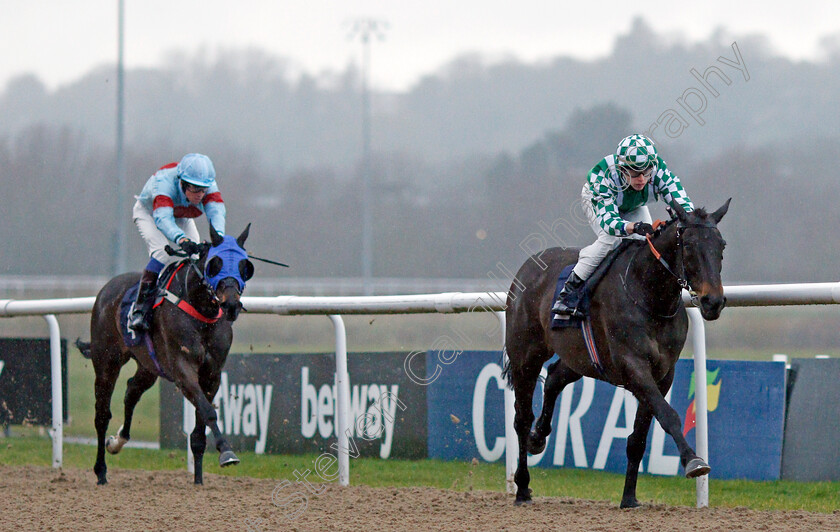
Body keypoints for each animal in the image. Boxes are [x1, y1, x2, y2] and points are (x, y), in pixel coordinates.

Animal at [77, 222, 254, 484]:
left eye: (244, 266)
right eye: (216, 264)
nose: (231, 305)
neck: (202, 312)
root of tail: (107, 288)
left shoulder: (212, 373)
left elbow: (200, 428)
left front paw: (199, 479)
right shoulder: (183, 370)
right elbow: (208, 412)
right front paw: (227, 452)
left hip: (149, 365)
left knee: (131, 391)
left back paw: (117, 441)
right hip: (106, 361)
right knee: (102, 414)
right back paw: (101, 472)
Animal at [506, 200, 728, 508]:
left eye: (721, 245)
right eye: (690, 246)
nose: (713, 301)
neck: (649, 294)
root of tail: (529, 265)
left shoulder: (663, 373)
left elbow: (638, 438)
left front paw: (629, 498)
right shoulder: (633, 366)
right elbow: (669, 415)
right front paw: (694, 461)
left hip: (580, 357)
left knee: (554, 377)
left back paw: (538, 437)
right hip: (524, 355)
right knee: (522, 417)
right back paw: (522, 486)